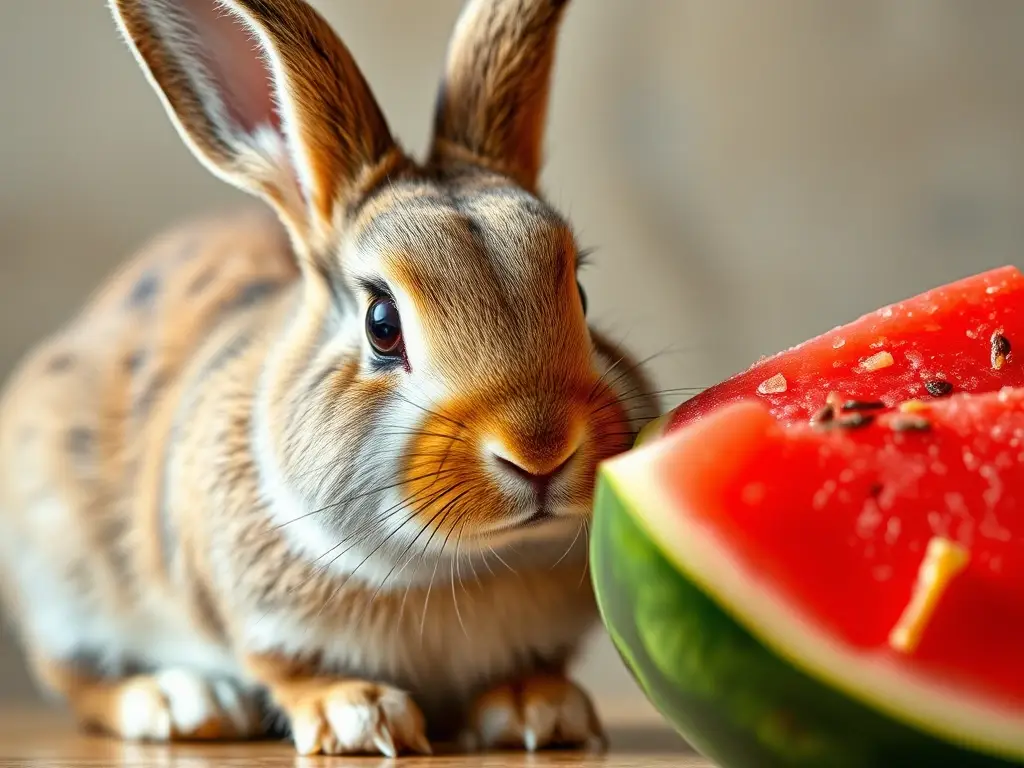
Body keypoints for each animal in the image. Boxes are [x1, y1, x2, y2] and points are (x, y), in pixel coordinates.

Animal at [0, 0, 659, 757]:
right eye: (382, 323)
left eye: (579, 291)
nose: (541, 450)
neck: (461, 566)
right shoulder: (258, 621)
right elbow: (289, 670)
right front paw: (360, 716)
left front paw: (540, 712)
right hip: (57, 578)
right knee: (76, 678)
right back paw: (180, 702)